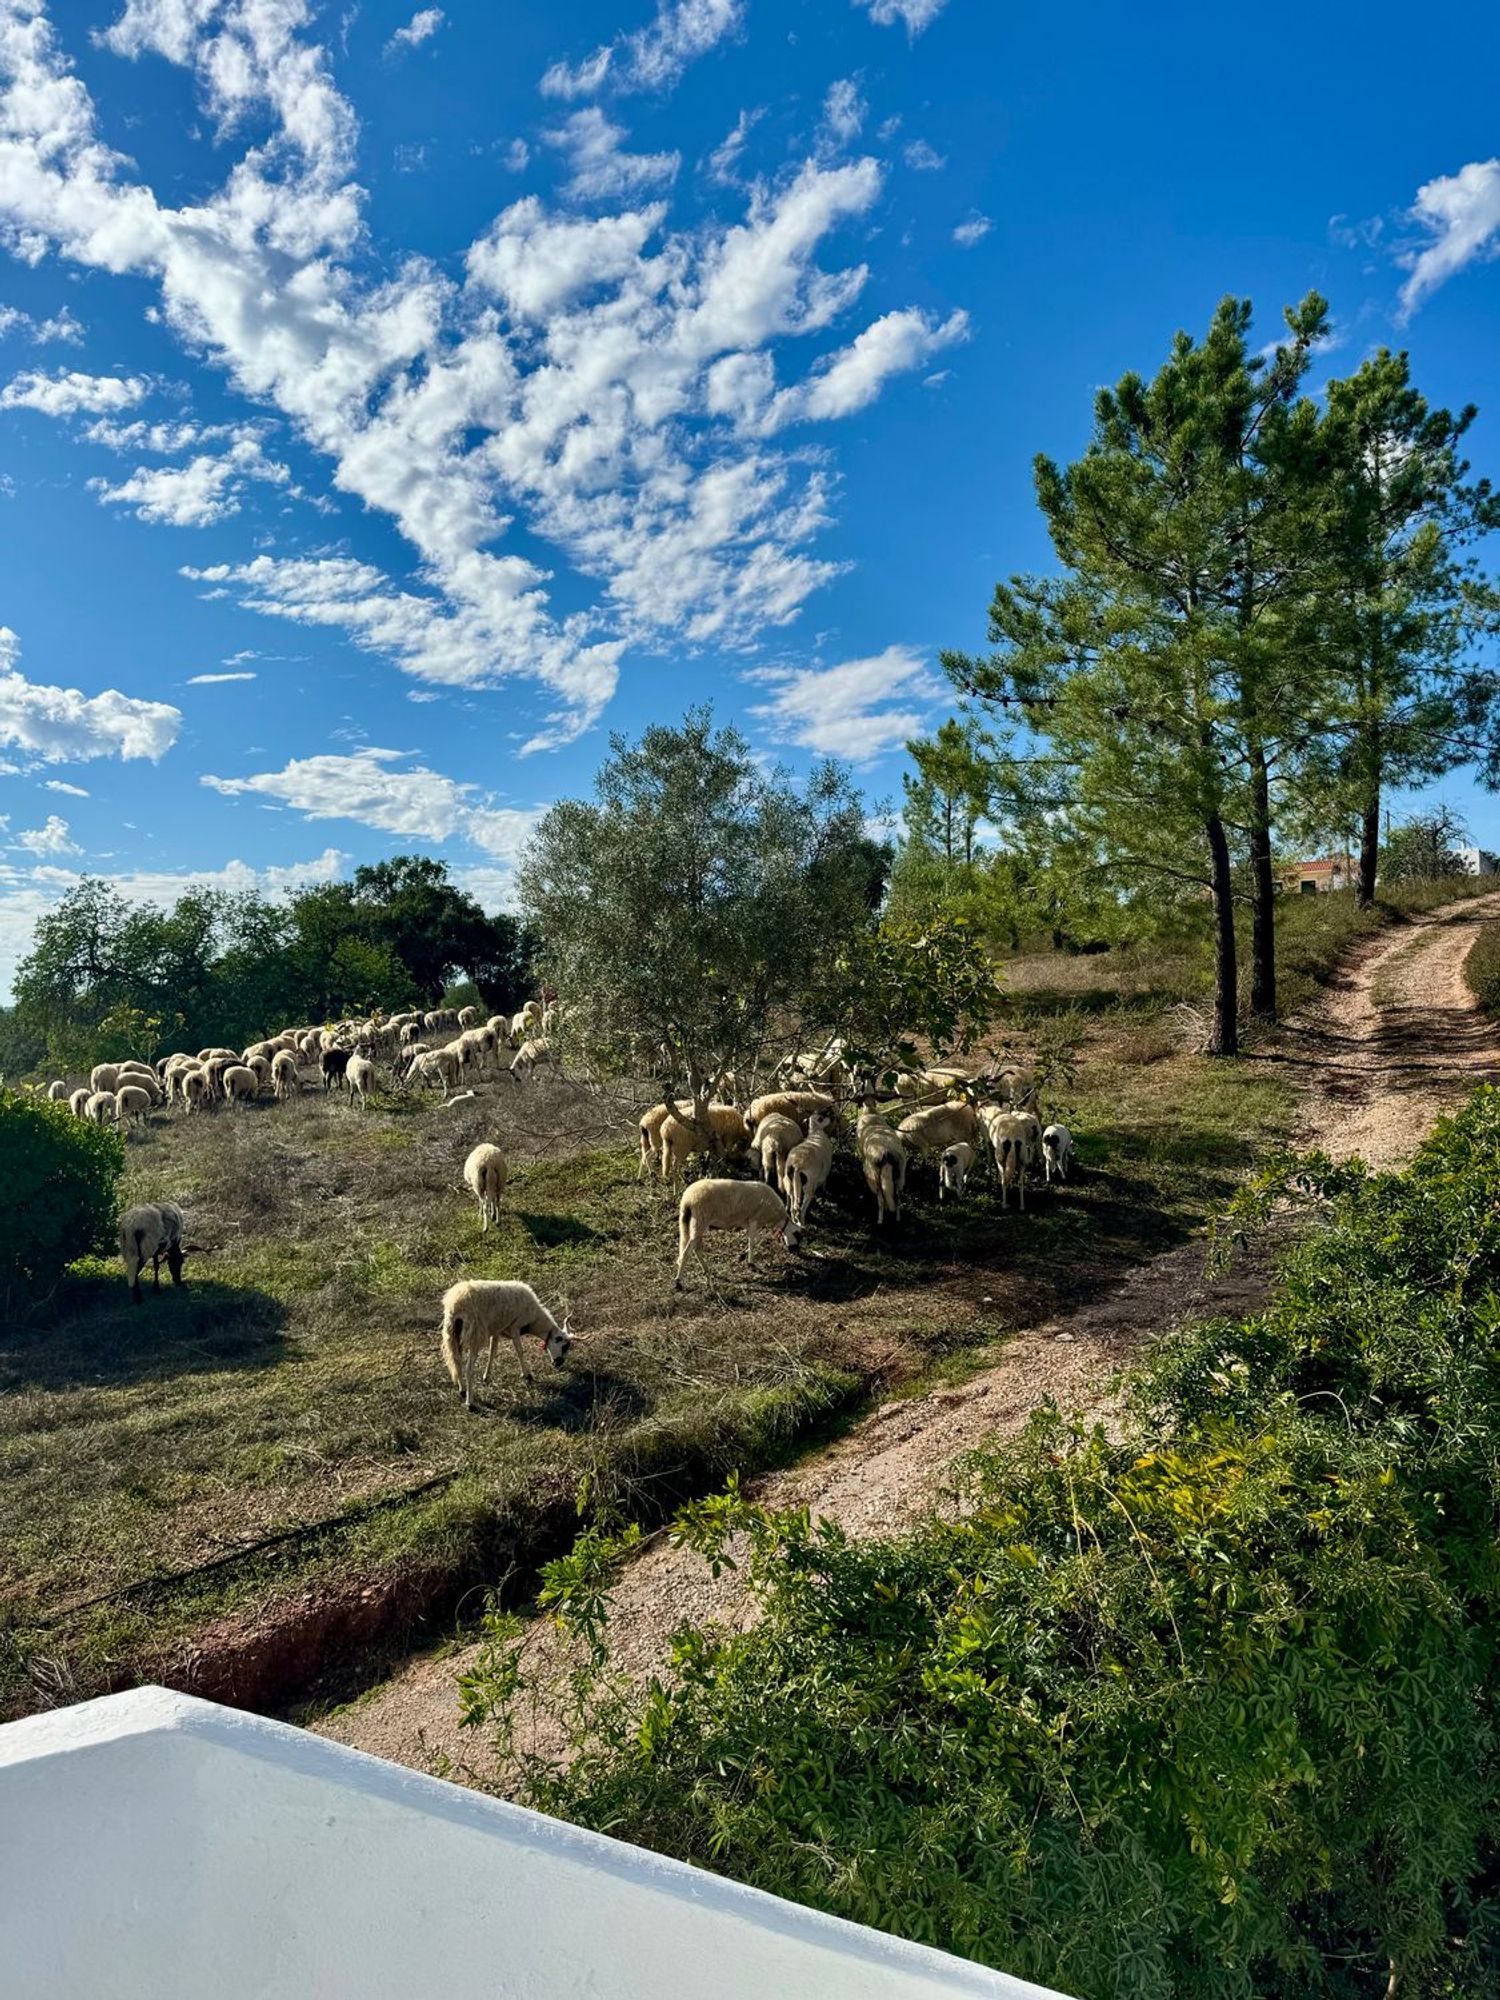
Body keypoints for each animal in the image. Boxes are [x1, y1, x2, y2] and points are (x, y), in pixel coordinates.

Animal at [440, 1280, 576, 1408]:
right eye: (564, 1346)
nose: (559, 1364)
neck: (535, 1320)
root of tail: (456, 1304)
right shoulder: (515, 1328)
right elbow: (520, 1352)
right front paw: (527, 1375)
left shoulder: (497, 1330)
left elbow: (492, 1353)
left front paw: (486, 1377)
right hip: (475, 1333)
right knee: (468, 1368)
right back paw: (470, 1403)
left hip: (452, 1334)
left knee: (456, 1361)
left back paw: (462, 1390)